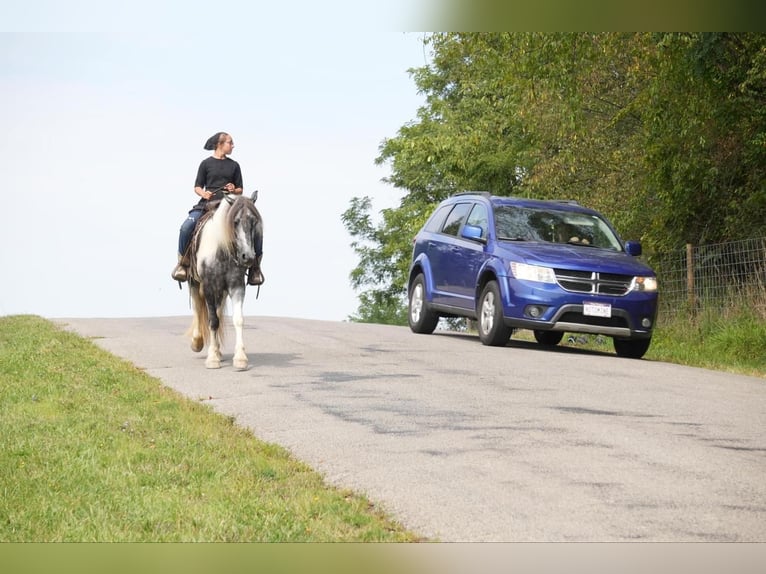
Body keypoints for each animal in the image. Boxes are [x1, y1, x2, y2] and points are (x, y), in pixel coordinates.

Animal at [187, 191, 264, 372]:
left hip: (220, 290)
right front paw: (212, 359)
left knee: (218, 310)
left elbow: (238, 320)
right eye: (235, 222)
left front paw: (241, 359)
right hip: (195, 283)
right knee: (198, 308)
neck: (221, 251)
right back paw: (198, 342)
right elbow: (213, 321)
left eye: (254, 221)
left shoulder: (236, 286)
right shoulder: (207, 286)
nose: (248, 257)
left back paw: (217, 350)